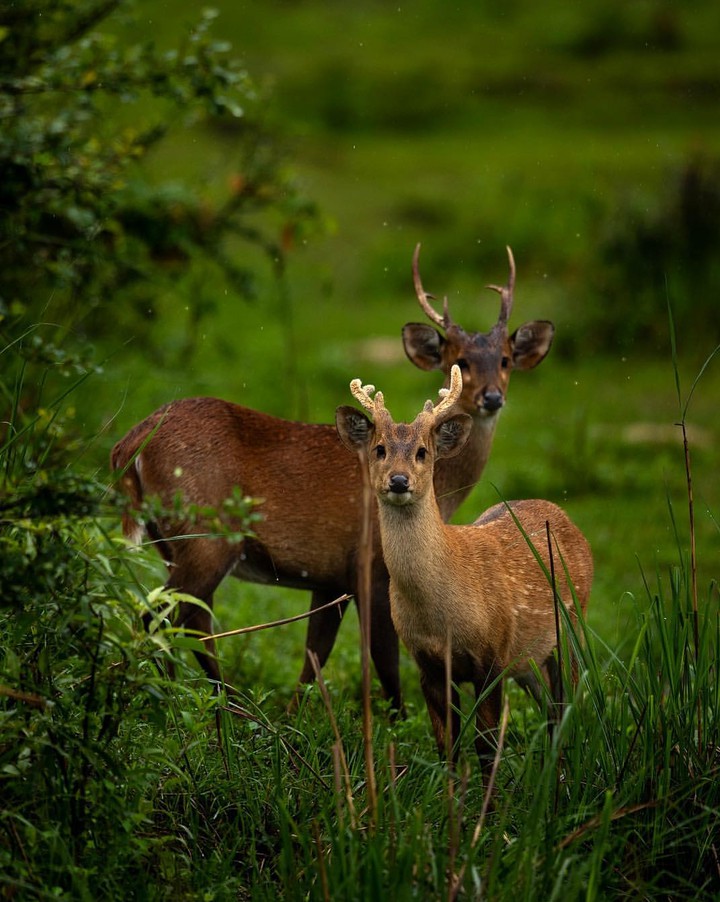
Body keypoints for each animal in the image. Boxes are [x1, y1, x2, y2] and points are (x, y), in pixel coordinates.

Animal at [110, 245, 555, 711]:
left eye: (505, 360)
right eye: (460, 362)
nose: (492, 397)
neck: (444, 492)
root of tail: (129, 444)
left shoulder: (326, 579)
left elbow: (314, 658)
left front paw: (298, 715)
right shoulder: (369, 563)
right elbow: (385, 660)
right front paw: (395, 719)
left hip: (173, 541)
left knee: (186, 620)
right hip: (207, 535)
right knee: (163, 616)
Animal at [335, 365, 593, 771]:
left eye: (423, 452)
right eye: (380, 449)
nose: (398, 480)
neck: (441, 618)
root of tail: (568, 520)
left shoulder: (492, 658)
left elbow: (486, 749)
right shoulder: (428, 666)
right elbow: (448, 747)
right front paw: (450, 787)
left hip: (570, 629)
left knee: (569, 706)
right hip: (531, 658)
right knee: (552, 711)